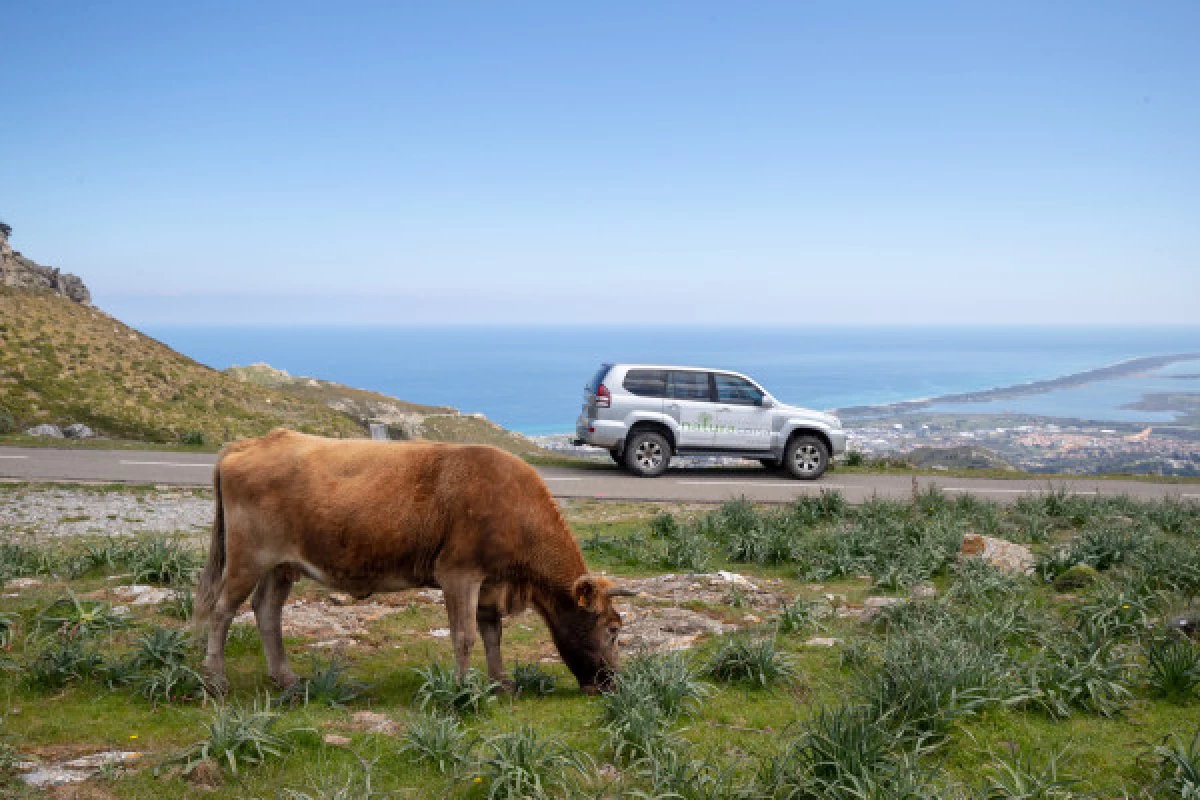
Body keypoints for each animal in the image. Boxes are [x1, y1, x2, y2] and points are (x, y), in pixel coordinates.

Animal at [196, 431, 628, 695]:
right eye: (612, 629)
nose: (612, 684)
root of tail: (252, 442)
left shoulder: (490, 582)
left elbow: (492, 634)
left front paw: (501, 684)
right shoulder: (458, 573)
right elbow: (464, 636)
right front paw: (461, 689)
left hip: (280, 565)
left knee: (266, 610)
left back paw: (285, 678)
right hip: (247, 558)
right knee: (222, 610)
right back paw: (216, 680)